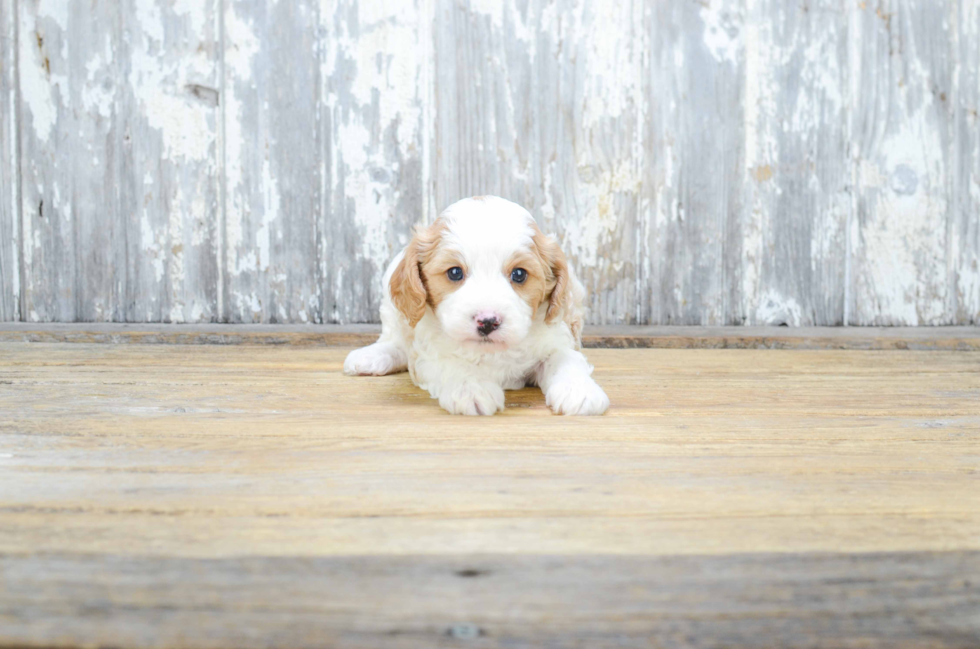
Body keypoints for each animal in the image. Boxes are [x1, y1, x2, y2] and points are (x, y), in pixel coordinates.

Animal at [340, 195, 608, 416]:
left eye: (519, 274)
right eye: (455, 272)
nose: (487, 321)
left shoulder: (555, 338)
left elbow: (566, 359)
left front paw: (579, 390)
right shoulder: (428, 354)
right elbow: (451, 364)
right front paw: (471, 388)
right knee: (394, 341)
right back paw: (372, 356)